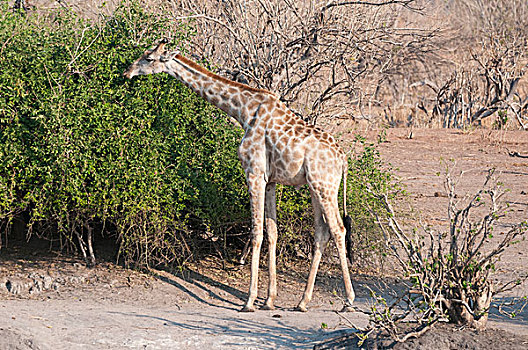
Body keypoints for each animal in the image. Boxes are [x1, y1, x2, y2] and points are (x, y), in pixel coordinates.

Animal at [123, 39, 354, 312]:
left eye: (148, 58)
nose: (127, 72)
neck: (243, 111)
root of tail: (343, 159)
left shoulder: (253, 173)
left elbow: (256, 232)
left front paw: (250, 300)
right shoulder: (271, 181)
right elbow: (272, 232)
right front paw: (269, 300)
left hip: (324, 185)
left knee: (338, 229)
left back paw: (349, 300)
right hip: (314, 187)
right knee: (322, 231)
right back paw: (302, 301)